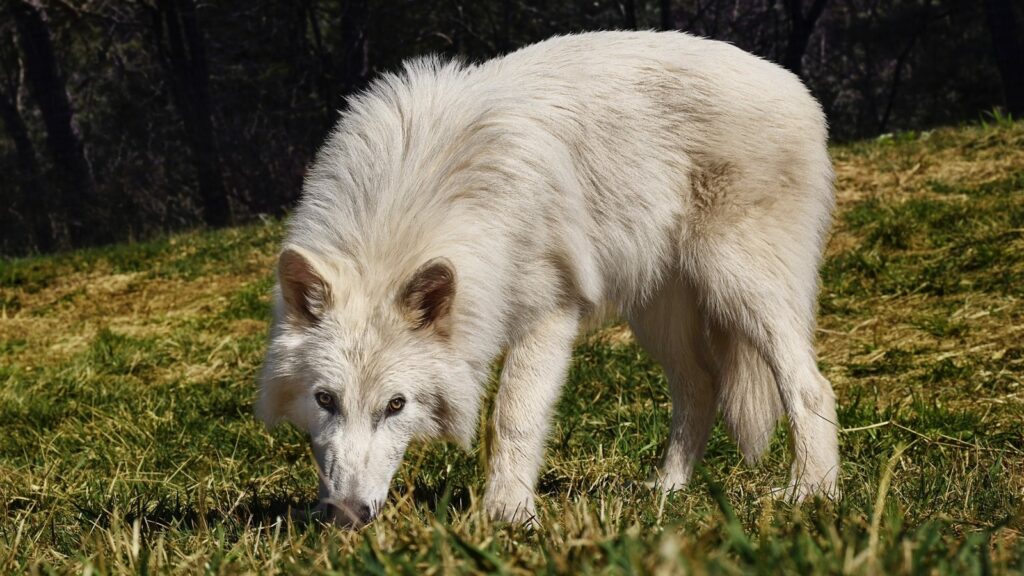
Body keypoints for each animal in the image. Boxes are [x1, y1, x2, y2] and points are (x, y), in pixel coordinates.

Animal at [257, 31, 839, 528]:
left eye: (396, 405)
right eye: (325, 400)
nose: (346, 516)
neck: (413, 199)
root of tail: (794, 85)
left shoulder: (550, 314)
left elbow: (513, 416)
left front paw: (509, 515)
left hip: (741, 288)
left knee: (810, 385)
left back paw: (812, 492)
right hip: (658, 316)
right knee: (701, 387)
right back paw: (668, 490)